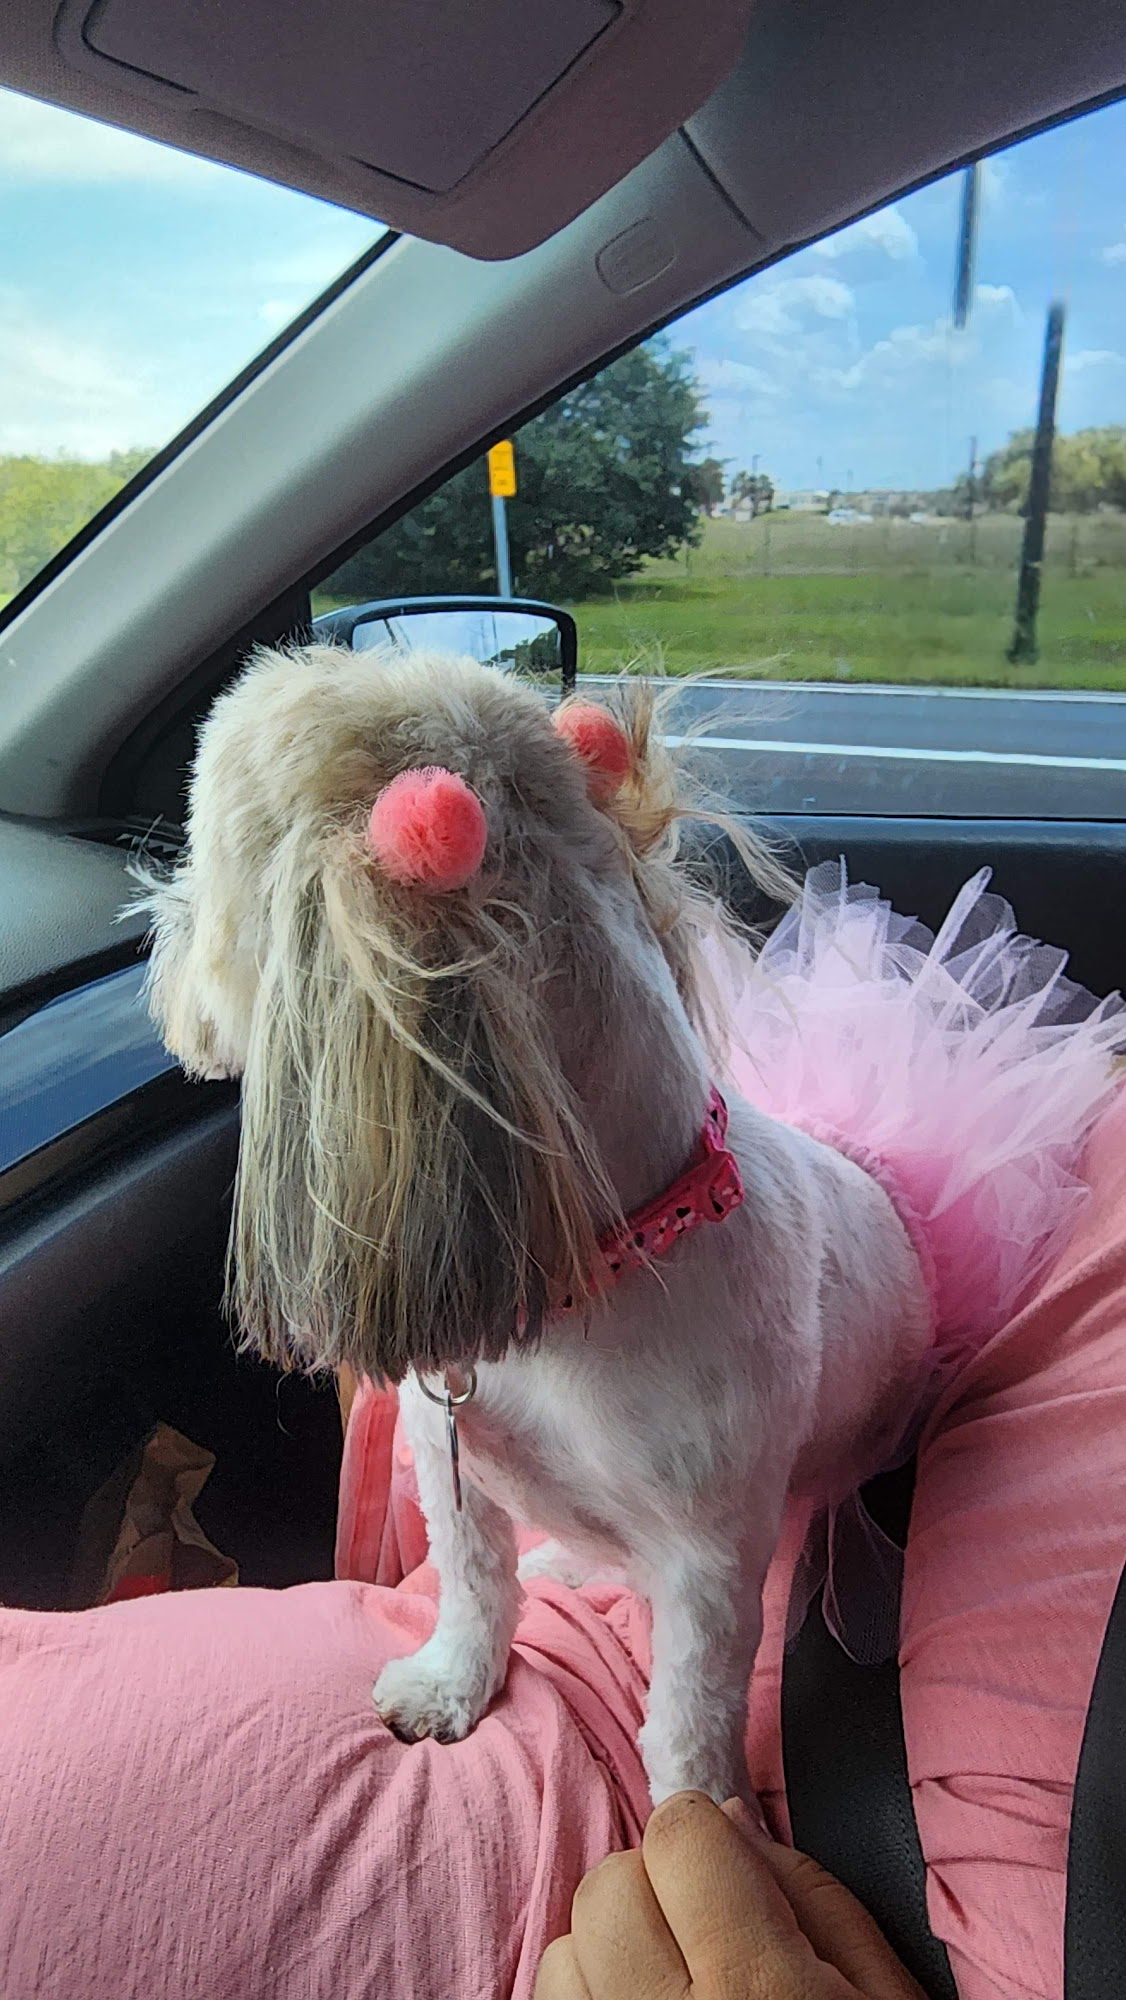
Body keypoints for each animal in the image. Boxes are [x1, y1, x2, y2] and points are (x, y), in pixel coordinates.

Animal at [138, 643, 931, 1805]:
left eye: (206, 871)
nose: (159, 920)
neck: (599, 1270)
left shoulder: (709, 1559)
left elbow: (691, 1712)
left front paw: (703, 1818)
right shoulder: (449, 1457)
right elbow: (475, 1582)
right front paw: (450, 1681)